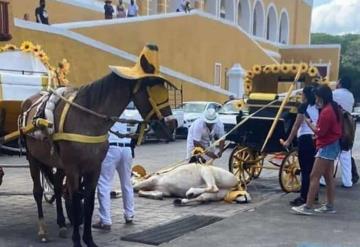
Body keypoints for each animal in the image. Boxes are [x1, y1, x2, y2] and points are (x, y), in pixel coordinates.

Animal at [21, 69, 176, 245]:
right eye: (152, 91)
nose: (172, 124)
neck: (87, 120)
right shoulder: (73, 169)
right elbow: (76, 199)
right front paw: (77, 241)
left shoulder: (94, 168)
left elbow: (88, 202)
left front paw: (88, 239)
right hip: (33, 158)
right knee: (38, 192)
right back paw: (42, 229)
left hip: (59, 164)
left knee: (58, 187)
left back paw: (61, 223)